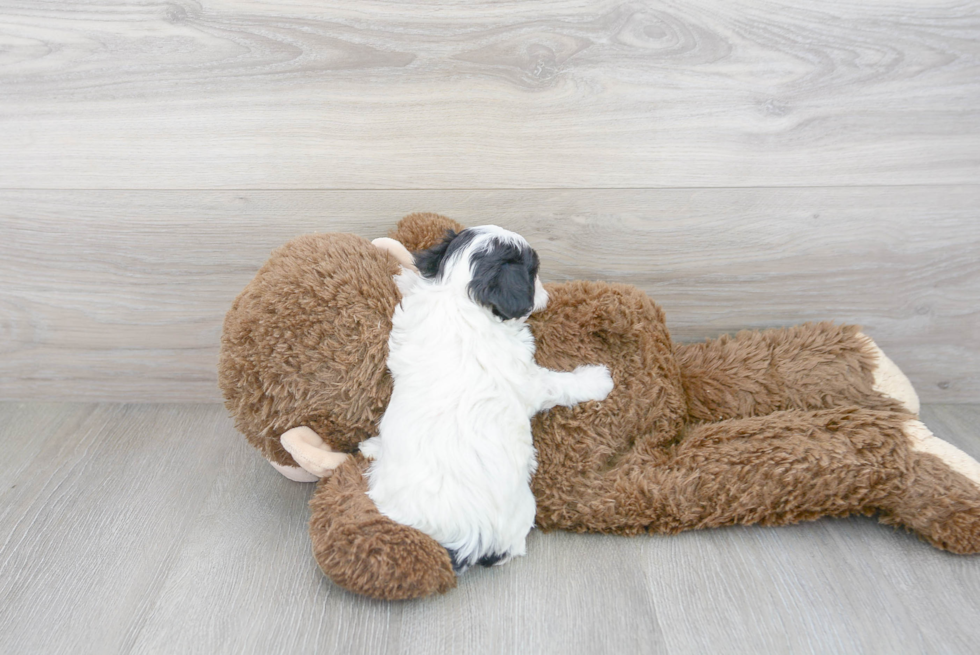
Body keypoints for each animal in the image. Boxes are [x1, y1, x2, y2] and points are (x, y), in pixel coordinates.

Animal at [362, 227, 612, 576]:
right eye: (533, 273)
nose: (546, 294)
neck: (457, 299)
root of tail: (464, 542)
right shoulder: (527, 380)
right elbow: (560, 385)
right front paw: (598, 380)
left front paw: (405, 276)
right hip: (522, 510)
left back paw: (372, 446)